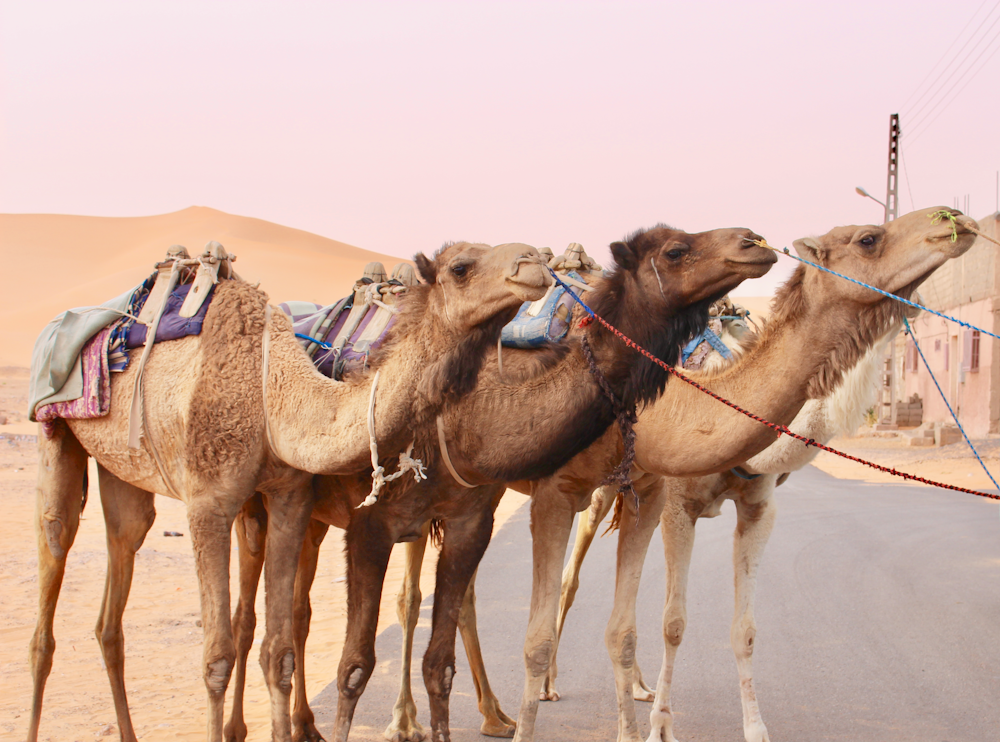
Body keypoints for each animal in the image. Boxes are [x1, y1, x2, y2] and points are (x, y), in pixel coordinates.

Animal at [27, 240, 552, 742]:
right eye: (461, 267)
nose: (534, 262)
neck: (270, 394)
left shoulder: (288, 497)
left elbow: (277, 651)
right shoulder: (210, 504)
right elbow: (216, 658)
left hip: (125, 474)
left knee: (117, 584)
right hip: (57, 434)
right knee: (52, 567)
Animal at [223, 225, 776, 742]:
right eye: (675, 250)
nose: (754, 242)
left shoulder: (484, 513)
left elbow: (443, 655)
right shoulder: (376, 524)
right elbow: (356, 663)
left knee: (306, 610)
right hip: (263, 503)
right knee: (254, 616)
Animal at [498, 205, 976, 742]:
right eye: (869, 238)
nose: (953, 219)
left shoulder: (756, 507)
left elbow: (743, 630)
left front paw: (754, 727)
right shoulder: (675, 504)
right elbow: (674, 623)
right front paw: (660, 727)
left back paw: (635, 687)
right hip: (591, 494)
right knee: (569, 580)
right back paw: (544, 690)